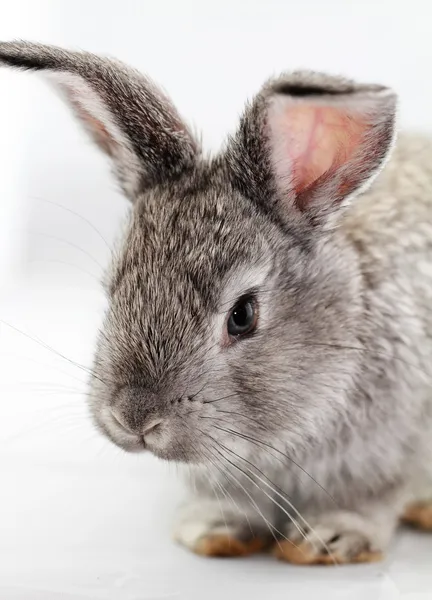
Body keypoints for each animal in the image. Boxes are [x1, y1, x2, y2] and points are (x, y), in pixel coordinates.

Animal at [1, 39, 430, 564]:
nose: (133, 417)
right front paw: (215, 530)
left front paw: (326, 541)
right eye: (114, 287)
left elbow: (367, 502)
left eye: (242, 316)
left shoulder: (385, 454)